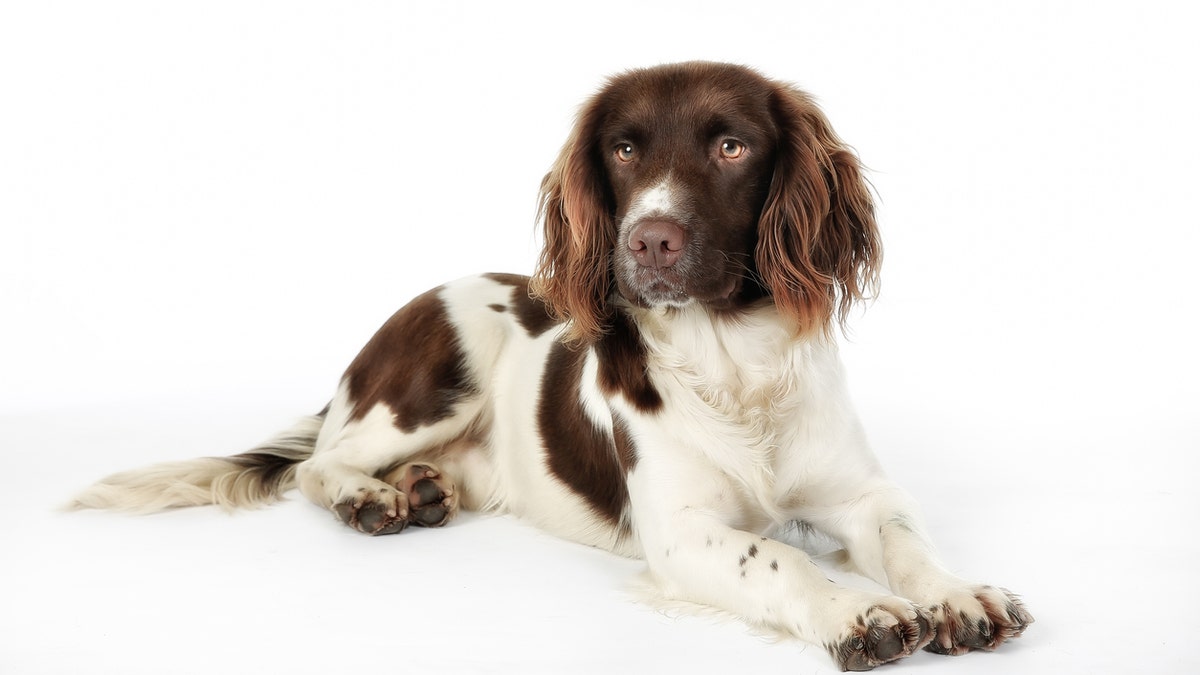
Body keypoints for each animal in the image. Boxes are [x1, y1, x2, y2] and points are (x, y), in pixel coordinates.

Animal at [72, 61, 1032, 667]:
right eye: (623, 148)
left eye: (732, 146)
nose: (649, 239)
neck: (732, 362)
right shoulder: (679, 531)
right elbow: (782, 559)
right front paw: (856, 608)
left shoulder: (859, 494)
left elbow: (907, 538)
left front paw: (960, 593)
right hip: (440, 368)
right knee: (321, 462)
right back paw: (370, 496)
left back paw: (422, 488)